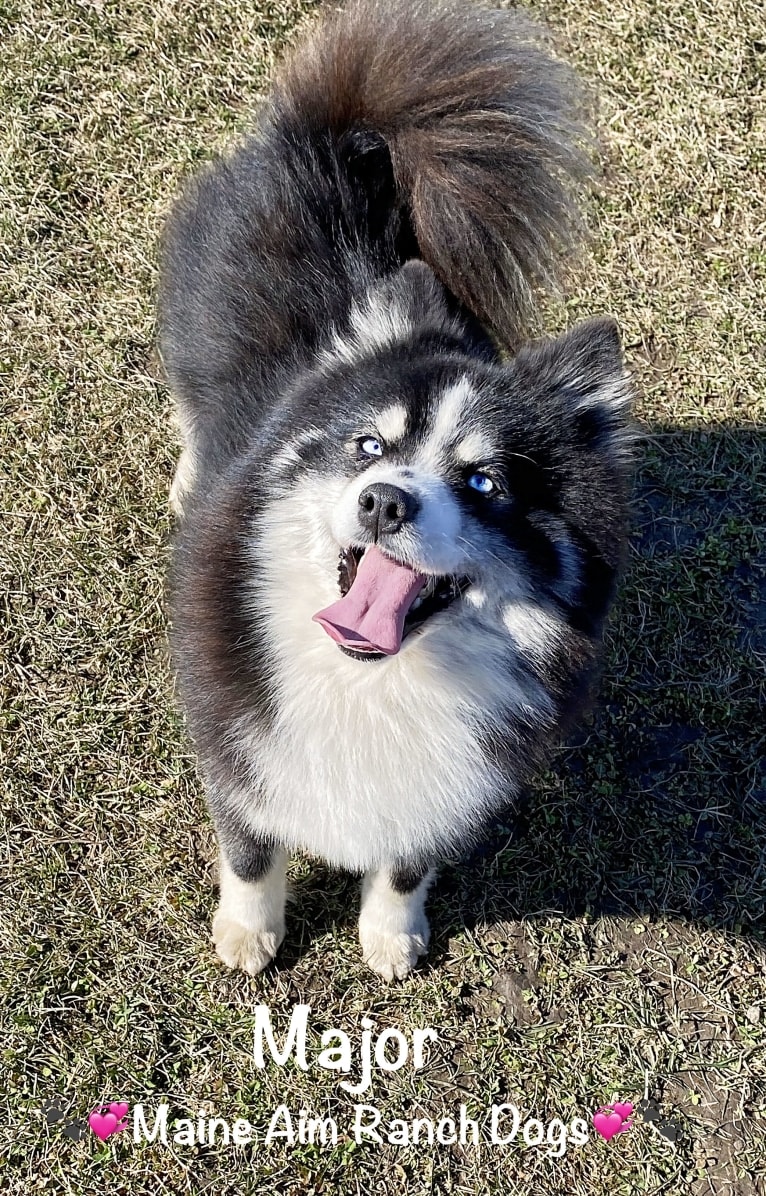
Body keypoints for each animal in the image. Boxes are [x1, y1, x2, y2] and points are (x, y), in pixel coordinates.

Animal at [157, 0, 631, 980]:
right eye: (370, 445)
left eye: (485, 480)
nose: (383, 500)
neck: (377, 684)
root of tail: (333, 141)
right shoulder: (233, 739)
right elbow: (250, 850)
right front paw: (249, 935)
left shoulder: (449, 791)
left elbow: (407, 864)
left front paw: (392, 936)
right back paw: (188, 477)